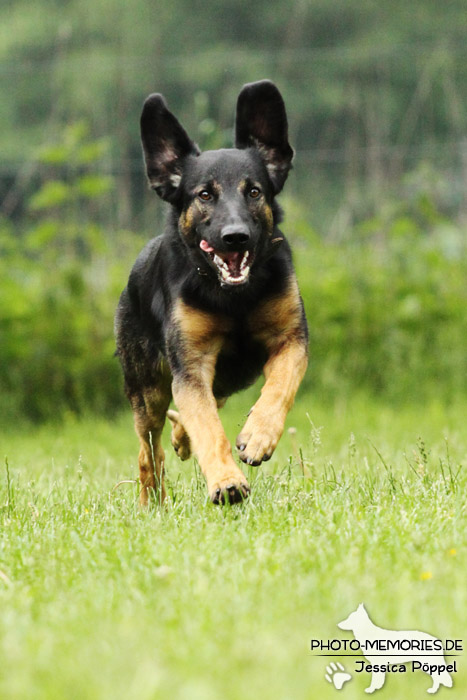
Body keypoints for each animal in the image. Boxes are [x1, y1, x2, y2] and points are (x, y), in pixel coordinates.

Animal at [115, 79, 308, 506]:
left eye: (254, 192)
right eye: (204, 195)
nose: (235, 237)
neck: (233, 300)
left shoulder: (290, 340)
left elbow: (279, 388)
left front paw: (258, 436)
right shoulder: (191, 364)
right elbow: (207, 427)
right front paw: (226, 481)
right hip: (148, 391)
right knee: (148, 449)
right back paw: (152, 499)